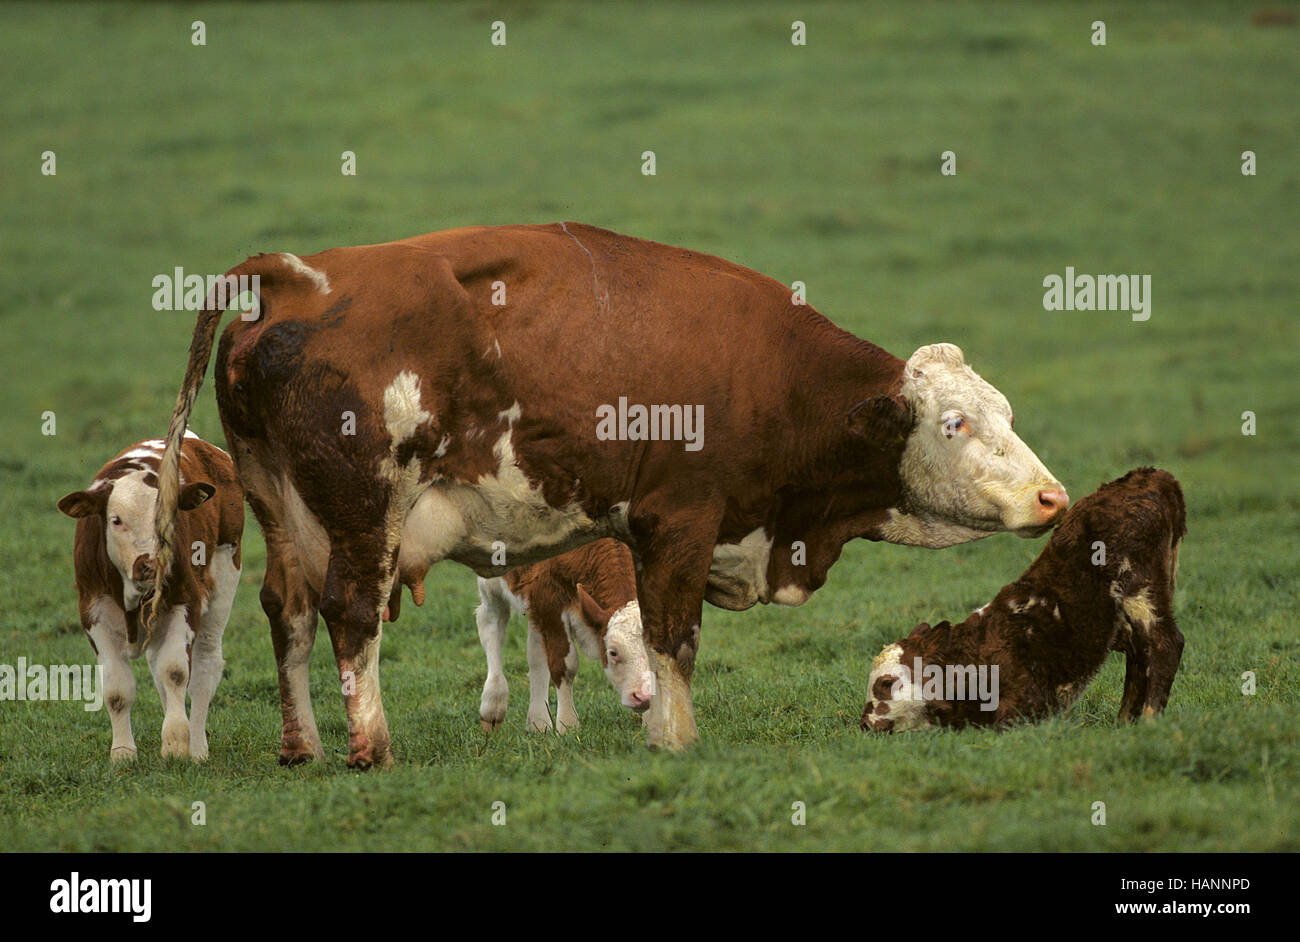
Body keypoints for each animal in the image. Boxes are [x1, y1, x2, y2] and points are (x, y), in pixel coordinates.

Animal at [58, 431, 242, 760]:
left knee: (204, 667)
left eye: (168, 518)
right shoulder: (93, 611)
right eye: (116, 519)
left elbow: (176, 672)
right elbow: (117, 689)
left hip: (225, 572)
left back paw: (197, 746)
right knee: (157, 666)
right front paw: (122, 753)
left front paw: (176, 742)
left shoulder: (185, 600)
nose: (150, 563)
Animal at [474, 538, 652, 733]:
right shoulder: (550, 601)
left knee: (535, 654)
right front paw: (568, 725)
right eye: (613, 652)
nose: (644, 696)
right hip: (492, 581)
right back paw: (493, 706)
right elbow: (565, 665)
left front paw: (651, 723)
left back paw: (538, 723)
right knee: (491, 624)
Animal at [861, 467, 1185, 732]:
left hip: (1138, 585)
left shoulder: (1022, 707)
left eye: (886, 683)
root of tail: (1150, 476)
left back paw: (1148, 721)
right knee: (1140, 653)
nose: (864, 724)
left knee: (1165, 643)